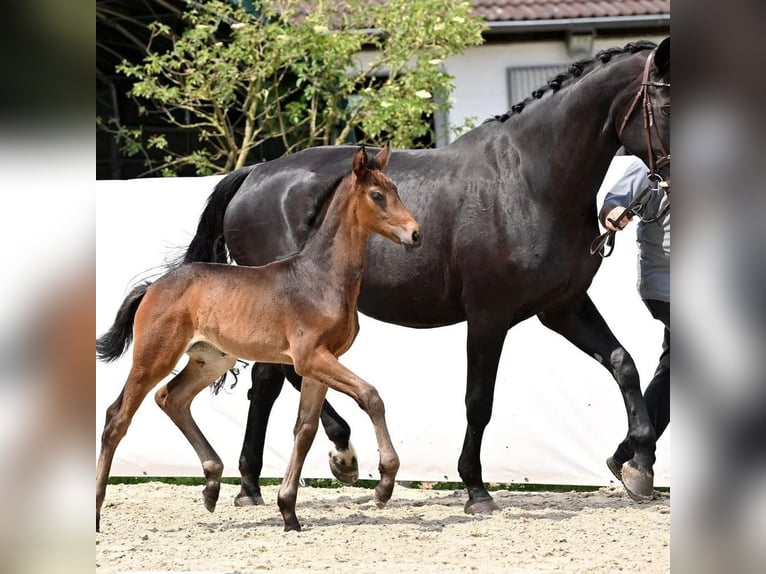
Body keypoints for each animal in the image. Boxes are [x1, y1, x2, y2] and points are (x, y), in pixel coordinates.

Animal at [97, 146, 424, 532]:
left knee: (171, 398)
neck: (320, 277)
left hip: (211, 359)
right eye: (377, 195)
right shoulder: (311, 357)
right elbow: (370, 396)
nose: (415, 234)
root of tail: (152, 287)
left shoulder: (318, 365)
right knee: (117, 417)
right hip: (154, 356)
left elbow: (305, 429)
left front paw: (289, 512)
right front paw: (384, 484)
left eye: (396, 190)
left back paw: (212, 484)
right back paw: (98, 510)